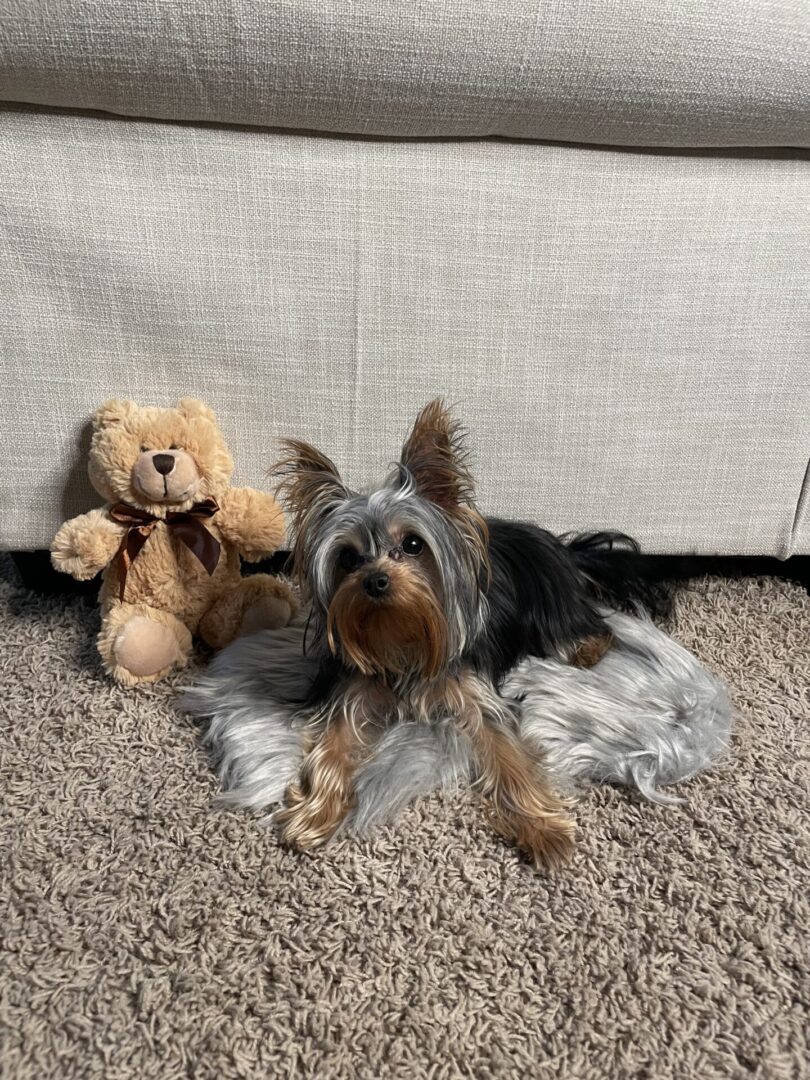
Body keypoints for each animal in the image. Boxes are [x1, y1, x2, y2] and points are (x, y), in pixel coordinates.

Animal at [270, 401, 656, 872]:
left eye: (413, 544)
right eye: (347, 557)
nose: (376, 580)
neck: (401, 634)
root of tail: (564, 548)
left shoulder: (479, 696)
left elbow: (509, 754)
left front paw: (543, 830)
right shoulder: (350, 692)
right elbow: (331, 746)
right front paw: (313, 814)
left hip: (553, 612)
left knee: (596, 627)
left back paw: (585, 651)